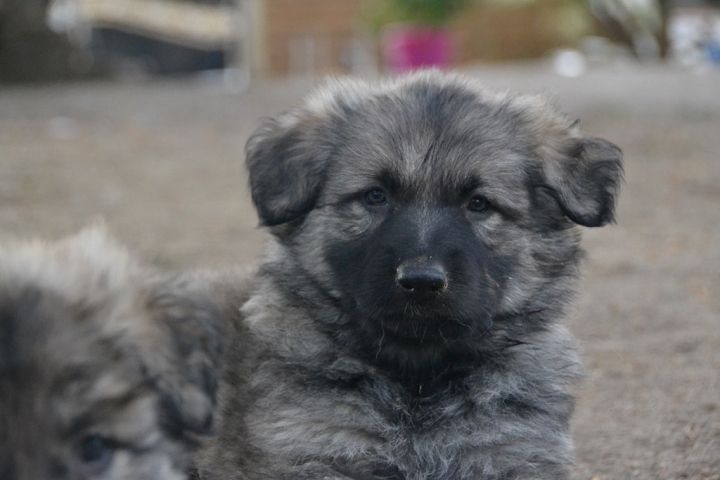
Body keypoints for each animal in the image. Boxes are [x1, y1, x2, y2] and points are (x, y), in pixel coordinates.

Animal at [197, 71, 623, 479]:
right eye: (375, 196)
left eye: (479, 204)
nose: (421, 281)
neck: (418, 381)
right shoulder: (317, 450)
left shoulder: (510, 451)